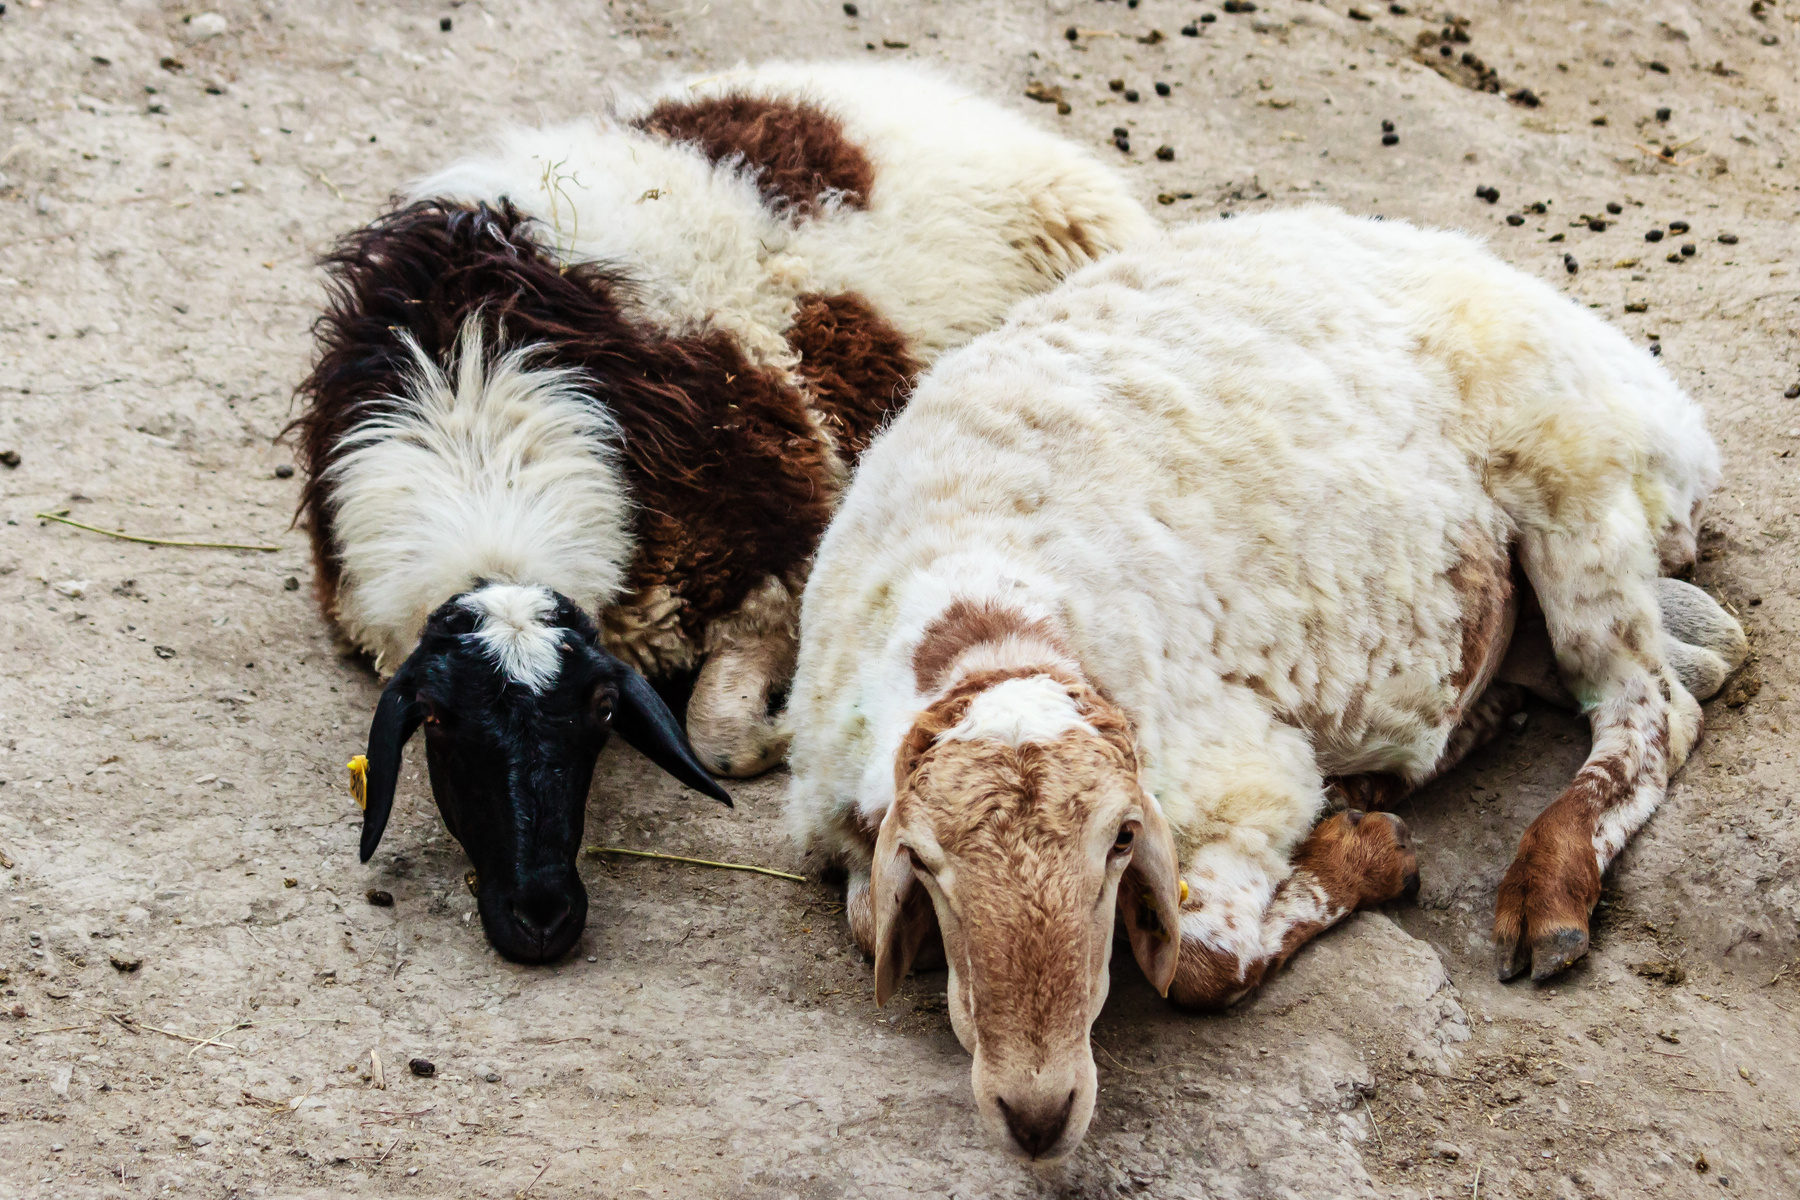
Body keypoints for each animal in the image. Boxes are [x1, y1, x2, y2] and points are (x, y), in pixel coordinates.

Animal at [291, 61, 1152, 964]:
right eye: (440, 722)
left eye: (600, 714)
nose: (543, 917)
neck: (476, 400)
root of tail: (950, 99)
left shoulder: (778, 563)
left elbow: (717, 735)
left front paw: (776, 738)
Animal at [785, 206, 1746, 1160]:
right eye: (927, 865)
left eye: (1121, 842)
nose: (1038, 1115)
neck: (980, 603)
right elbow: (871, 922)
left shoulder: (1244, 777)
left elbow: (1203, 963)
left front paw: (1369, 854)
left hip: (1577, 480)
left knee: (1650, 705)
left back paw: (1545, 891)